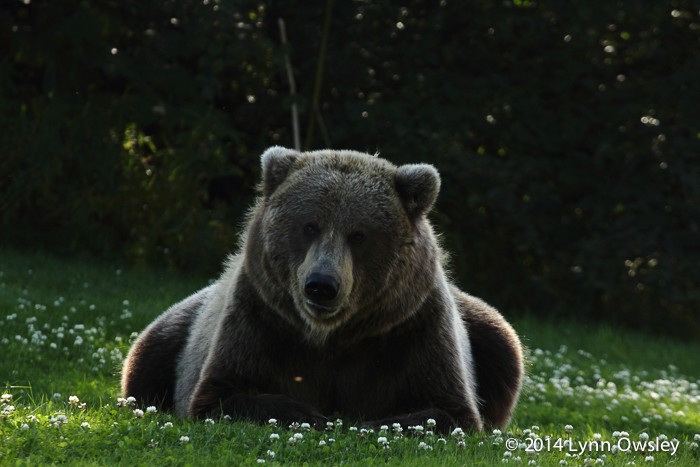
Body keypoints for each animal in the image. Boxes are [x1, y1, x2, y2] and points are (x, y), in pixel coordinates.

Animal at [121, 146, 523, 433]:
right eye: (309, 226)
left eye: (358, 234)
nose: (321, 285)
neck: (332, 337)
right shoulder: (261, 319)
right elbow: (223, 393)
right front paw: (310, 413)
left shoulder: (410, 329)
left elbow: (448, 408)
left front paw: (374, 420)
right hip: (180, 326)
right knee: (147, 356)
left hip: (485, 328)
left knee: (503, 345)